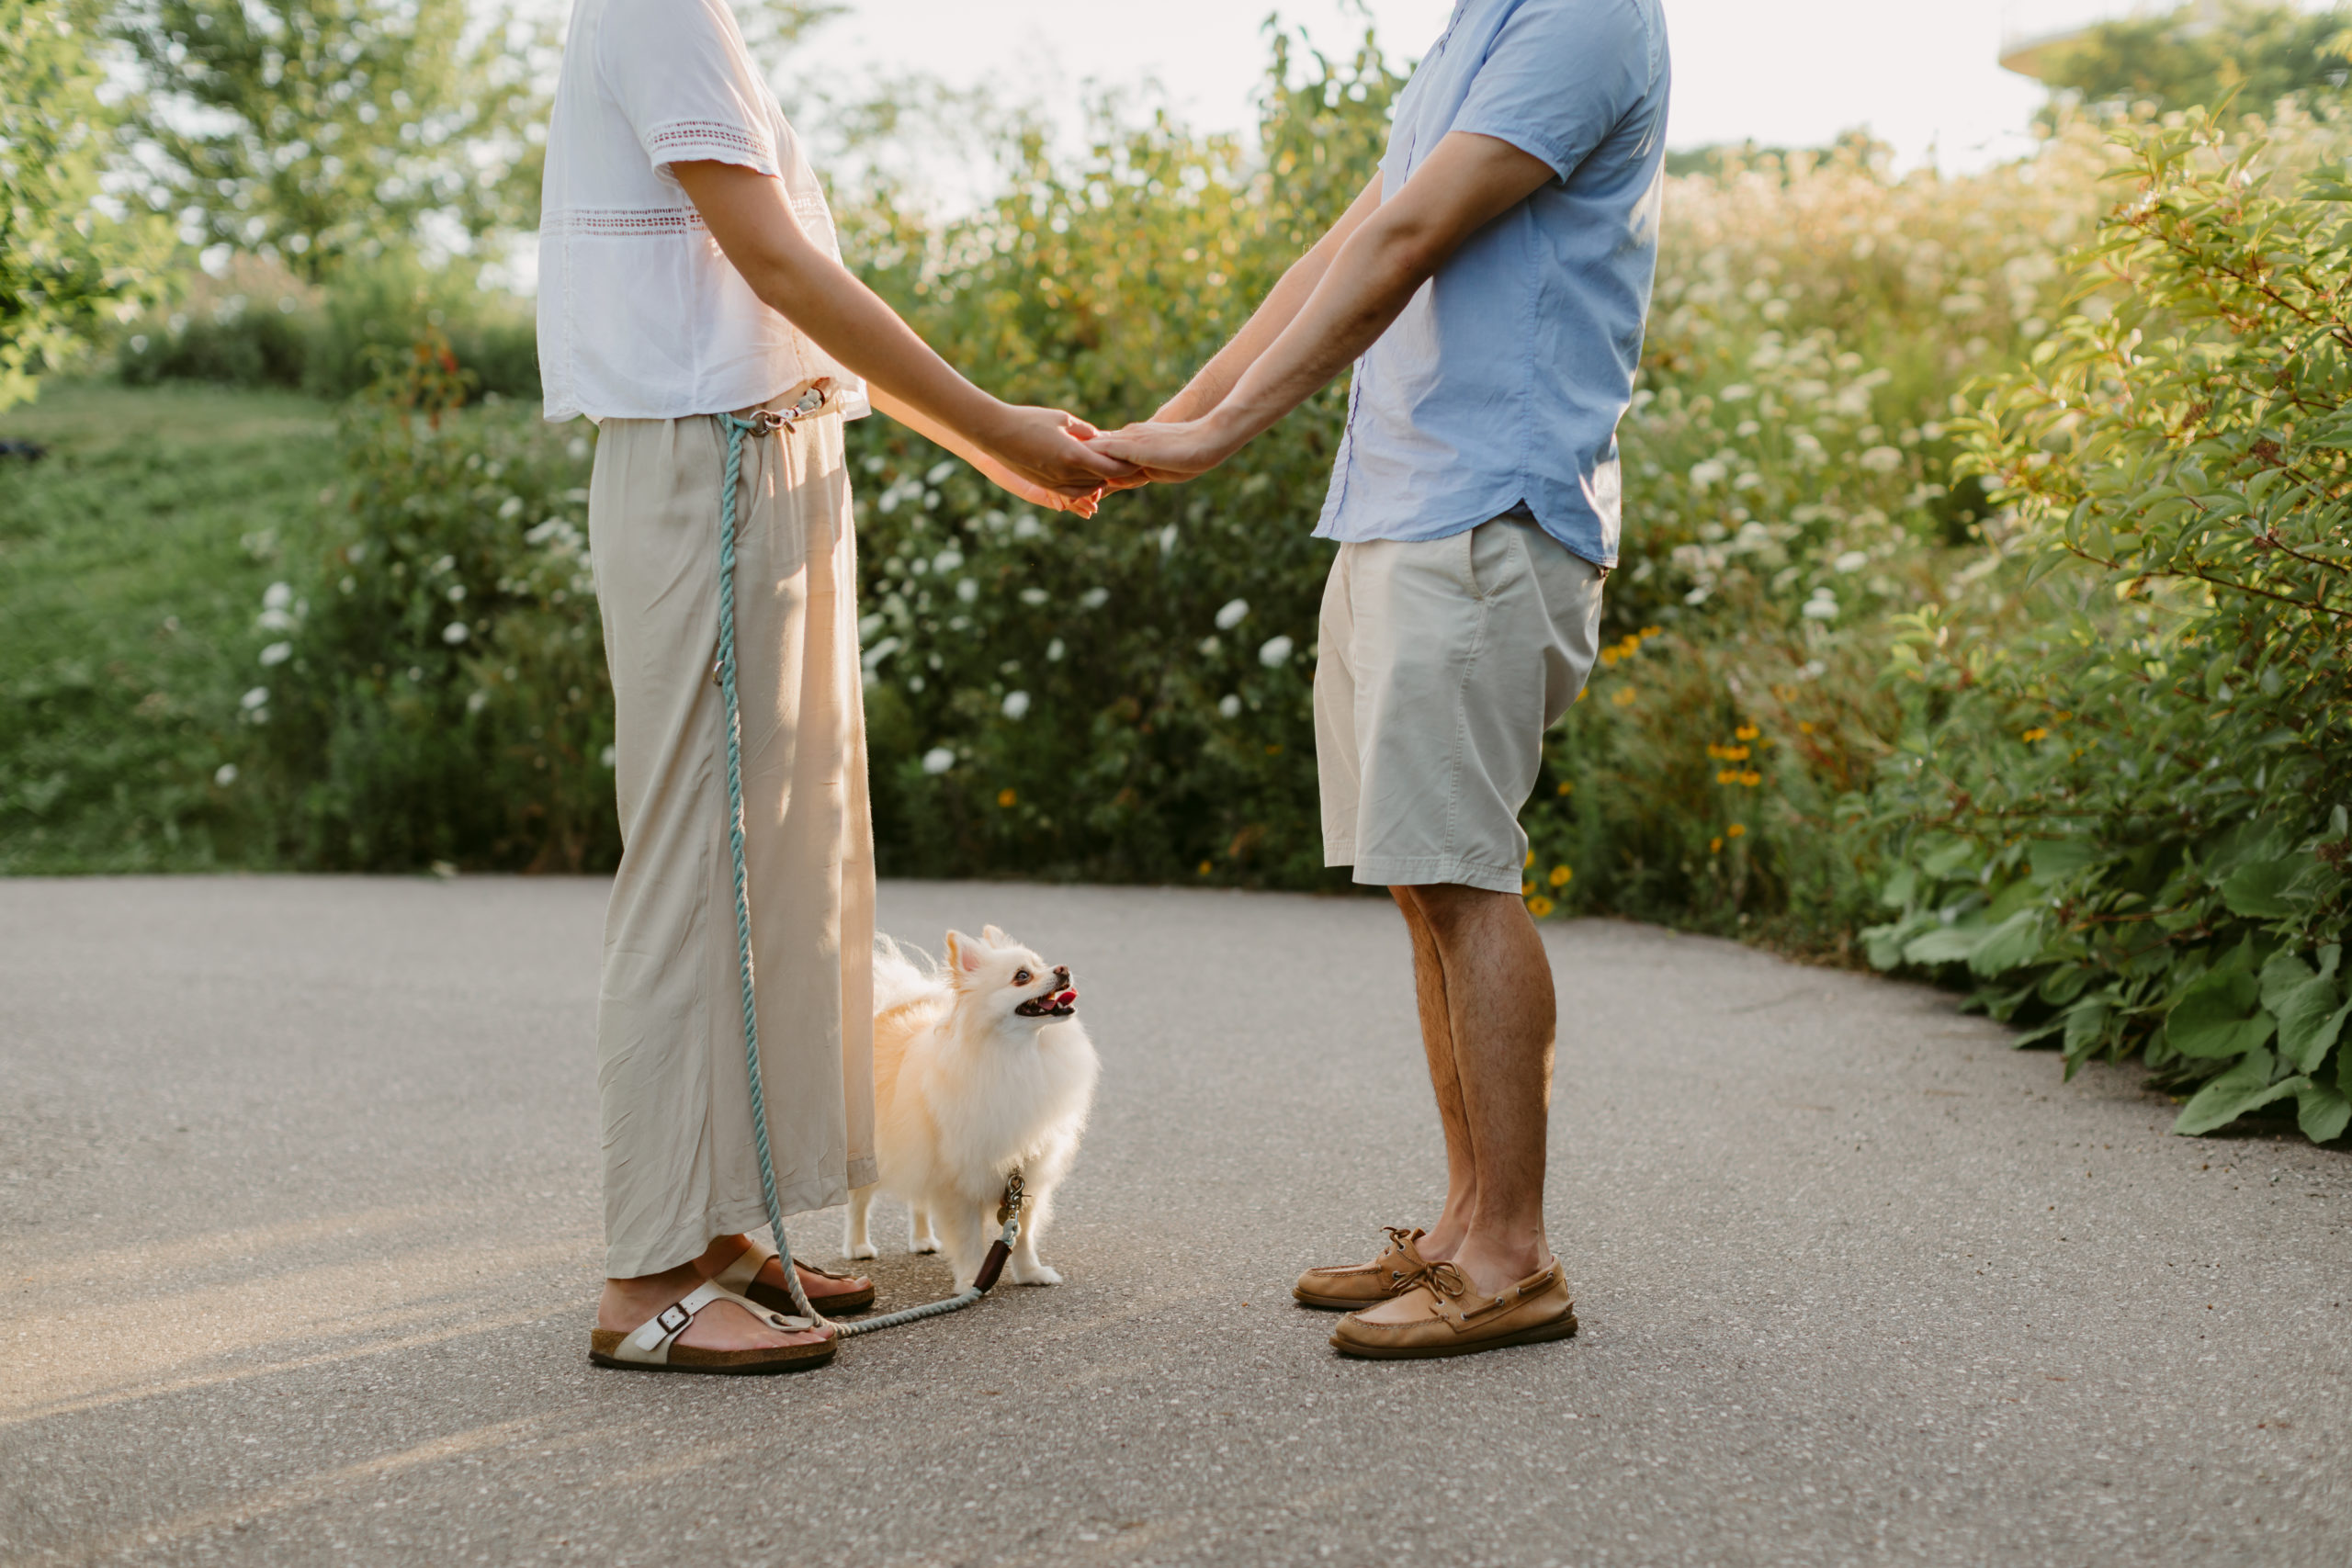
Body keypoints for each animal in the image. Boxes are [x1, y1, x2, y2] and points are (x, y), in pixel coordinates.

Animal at [851, 931, 1095, 1288]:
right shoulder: (956, 1182)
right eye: (1022, 976)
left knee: (918, 1202)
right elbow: (968, 1239)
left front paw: (1031, 1273)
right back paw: (858, 1246)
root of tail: (884, 1013)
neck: (1016, 1055)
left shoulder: (1025, 1176)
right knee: (859, 1202)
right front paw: (972, 1280)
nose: (1062, 969)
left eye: (1043, 963)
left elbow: (1023, 1235)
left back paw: (923, 1240)